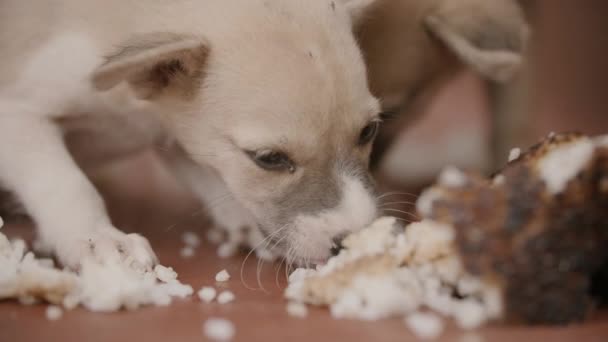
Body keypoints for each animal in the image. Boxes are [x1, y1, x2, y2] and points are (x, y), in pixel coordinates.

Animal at [0, 0, 380, 270]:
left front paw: (244, 223)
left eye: (369, 130)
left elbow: (211, 177)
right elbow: (66, 183)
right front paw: (97, 237)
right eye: (269, 159)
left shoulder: (176, 134)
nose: (353, 242)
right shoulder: (17, 115)